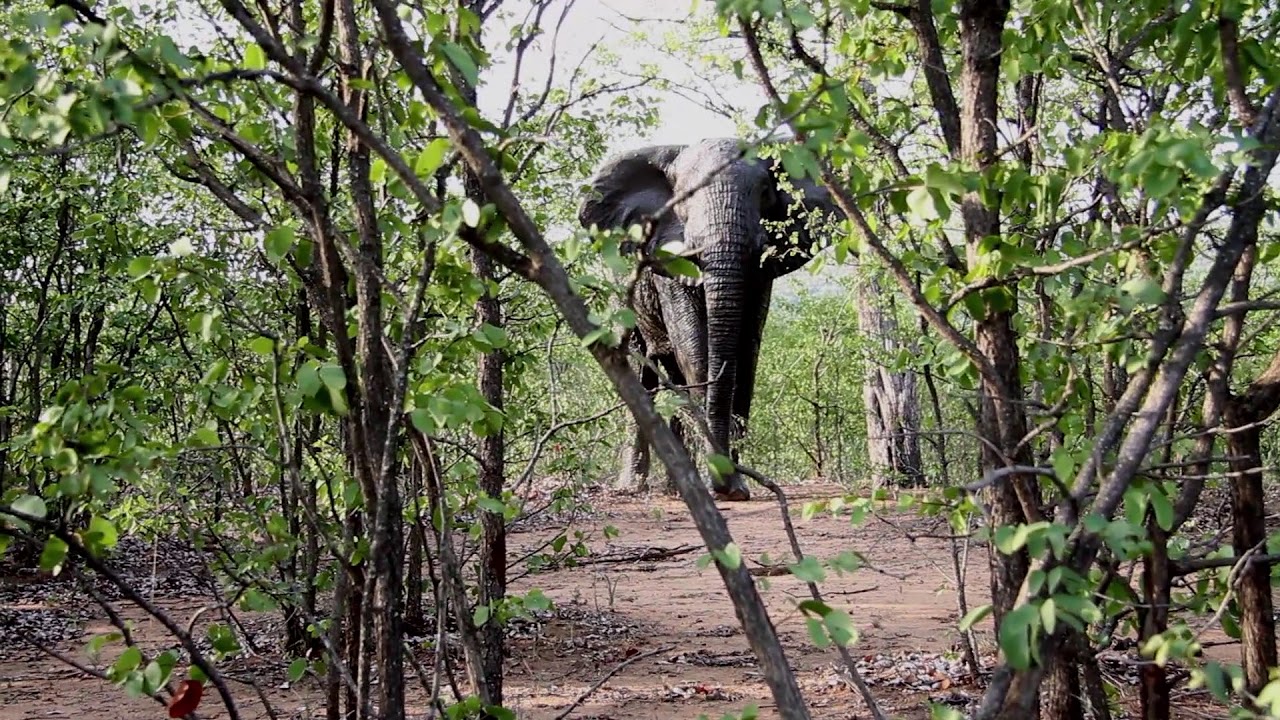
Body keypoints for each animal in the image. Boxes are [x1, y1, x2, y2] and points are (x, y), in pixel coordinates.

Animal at [577, 137, 843, 501]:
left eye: (764, 192)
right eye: (686, 197)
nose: (725, 484)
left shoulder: (761, 277)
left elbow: (746, 356)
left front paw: (734, 487)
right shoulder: (667, 256)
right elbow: (694, 350)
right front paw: (720, 484)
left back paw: (678, 486)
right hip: (619, 284)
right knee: (642, 369)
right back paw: (635, 486)